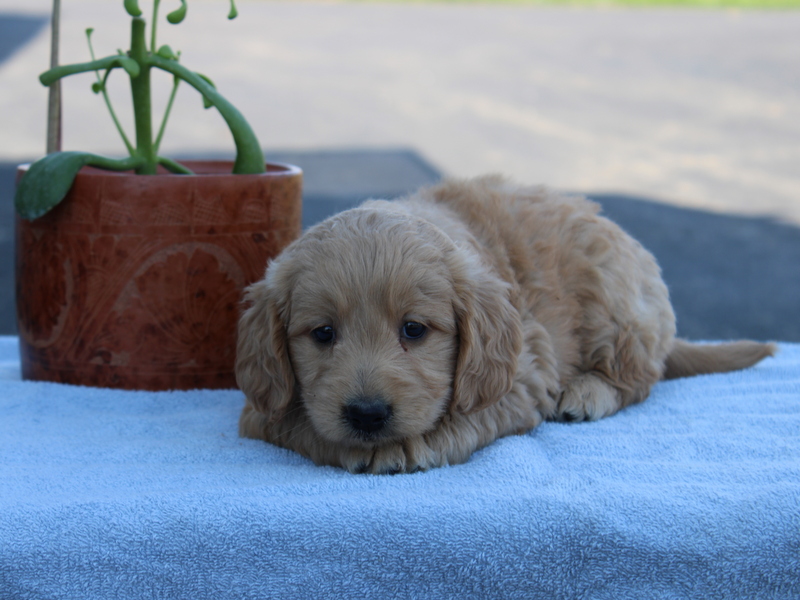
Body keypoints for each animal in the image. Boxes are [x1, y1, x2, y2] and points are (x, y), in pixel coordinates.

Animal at [233, 177, 776, 474]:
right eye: (323, 334)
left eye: (414, 330)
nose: (367, 415)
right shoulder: (260, 408)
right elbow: (293, 423)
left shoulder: (523, 372)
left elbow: (467, 415)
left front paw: (405, 445)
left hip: (615, 303)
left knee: (642, 376)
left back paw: (588, 392)